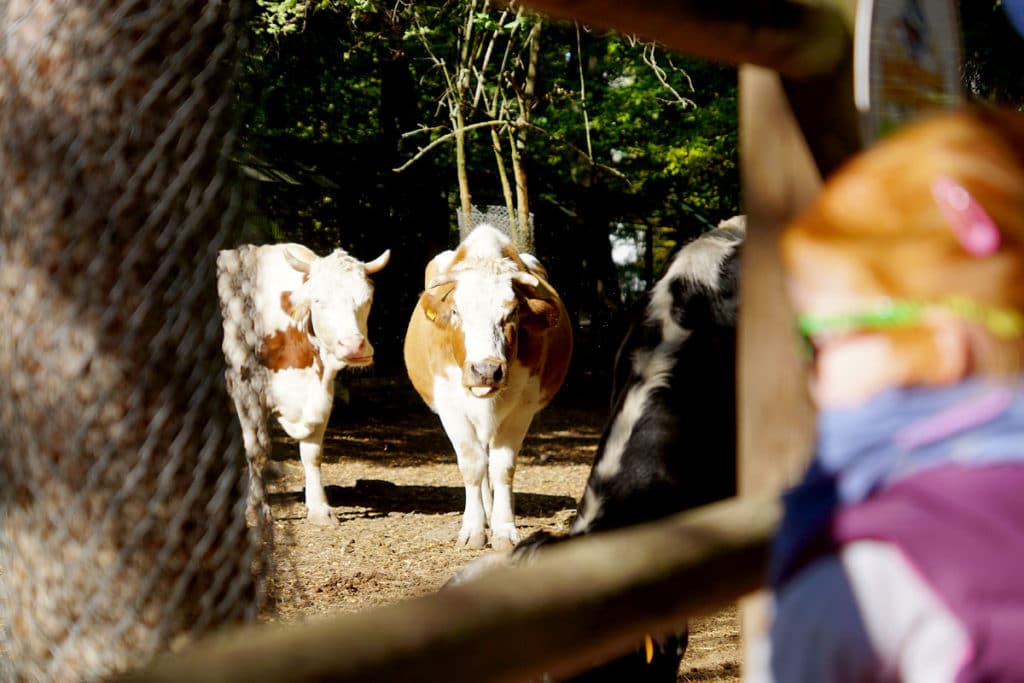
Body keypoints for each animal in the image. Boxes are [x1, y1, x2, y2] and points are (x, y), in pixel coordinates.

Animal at [218, 242, 389, 528]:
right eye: (318, 301)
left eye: (367, 300)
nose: (354, 346)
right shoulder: (245, 388)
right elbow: (257, 449)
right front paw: (257, 508)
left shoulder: (321, 389)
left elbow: (312, 453)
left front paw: (319, 508)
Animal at [403, 224, 573, 548]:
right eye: (456, 312)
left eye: (512, 313)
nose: (486, 370)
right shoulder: (450, 405)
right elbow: (472, 465)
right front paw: (473, 528)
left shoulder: (522, 407)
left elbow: (503, 467)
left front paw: (504, 527)